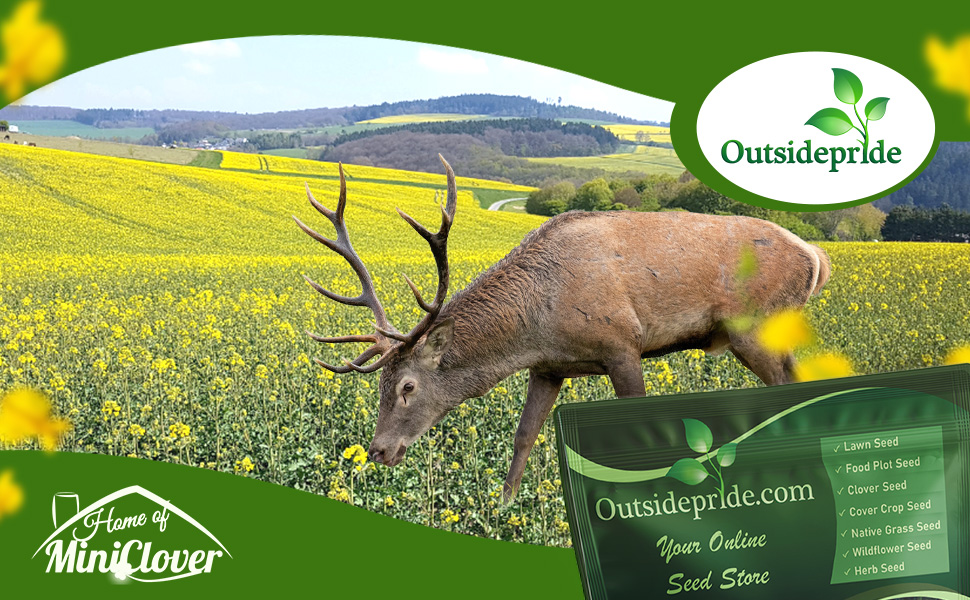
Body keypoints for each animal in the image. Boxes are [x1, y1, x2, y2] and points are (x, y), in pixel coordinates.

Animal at [294, 155, 831, 502]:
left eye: (407, 386)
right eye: (380, 386)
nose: (378, 450)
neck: (541, 324)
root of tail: (815, 257)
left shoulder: (623, 344)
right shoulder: (548, 368)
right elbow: (524, 435)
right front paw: (503, 507)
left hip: (754, 326)